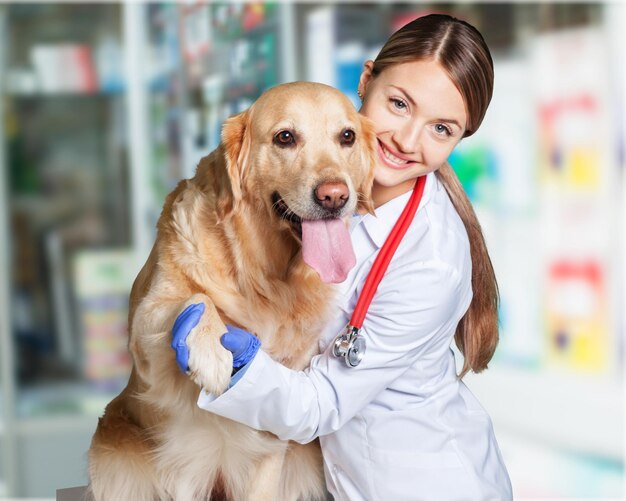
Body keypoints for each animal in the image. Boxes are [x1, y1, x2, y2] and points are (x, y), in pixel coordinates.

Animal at [85, 83, 372, 500]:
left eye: (346, 136)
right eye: (285, 137)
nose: (334, 196)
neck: (262, 274)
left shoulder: (273, 439)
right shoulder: (145, 322)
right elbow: (196, 298)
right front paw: (211, 352)